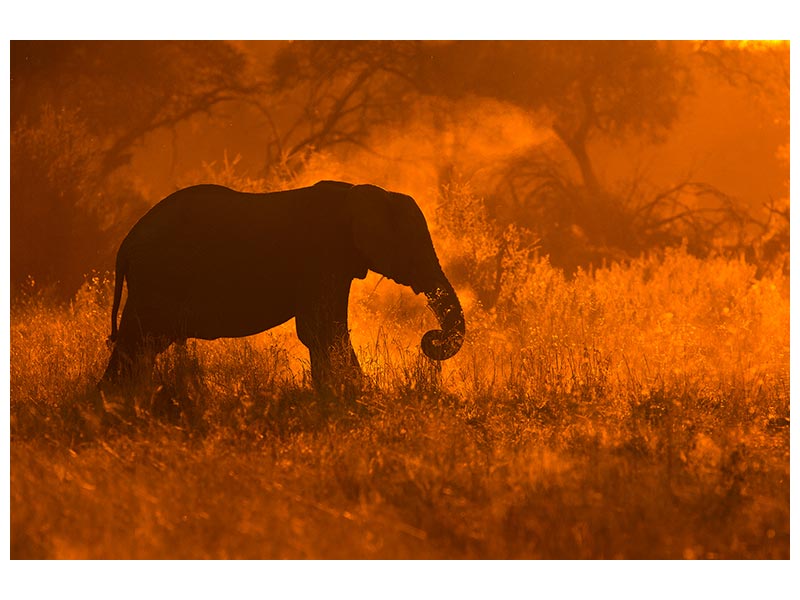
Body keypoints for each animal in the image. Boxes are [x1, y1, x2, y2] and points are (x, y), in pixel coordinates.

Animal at [99, 180, 465, 393]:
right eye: (413, 248)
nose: (430, 339)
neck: (358, 192)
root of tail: (125, 246)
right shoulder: (322, 257)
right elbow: (322, 329)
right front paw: (358, 394)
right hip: (157, 279)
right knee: (140, 341)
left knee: (141, 344)